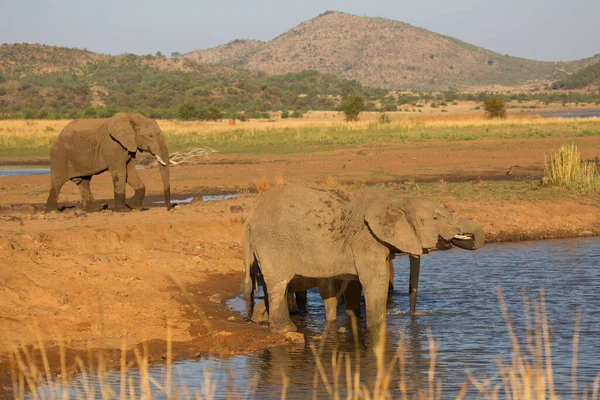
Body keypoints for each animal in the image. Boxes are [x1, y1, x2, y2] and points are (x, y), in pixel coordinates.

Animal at [241, 184, 486, 332]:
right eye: (434, 218)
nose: (413, 316)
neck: (398, 200)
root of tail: (250, 217)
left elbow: (355, 283)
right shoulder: (366, 238)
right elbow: (374, 282)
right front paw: (378, 329)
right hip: (274, 242)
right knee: (278, 285)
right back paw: (287, 329)